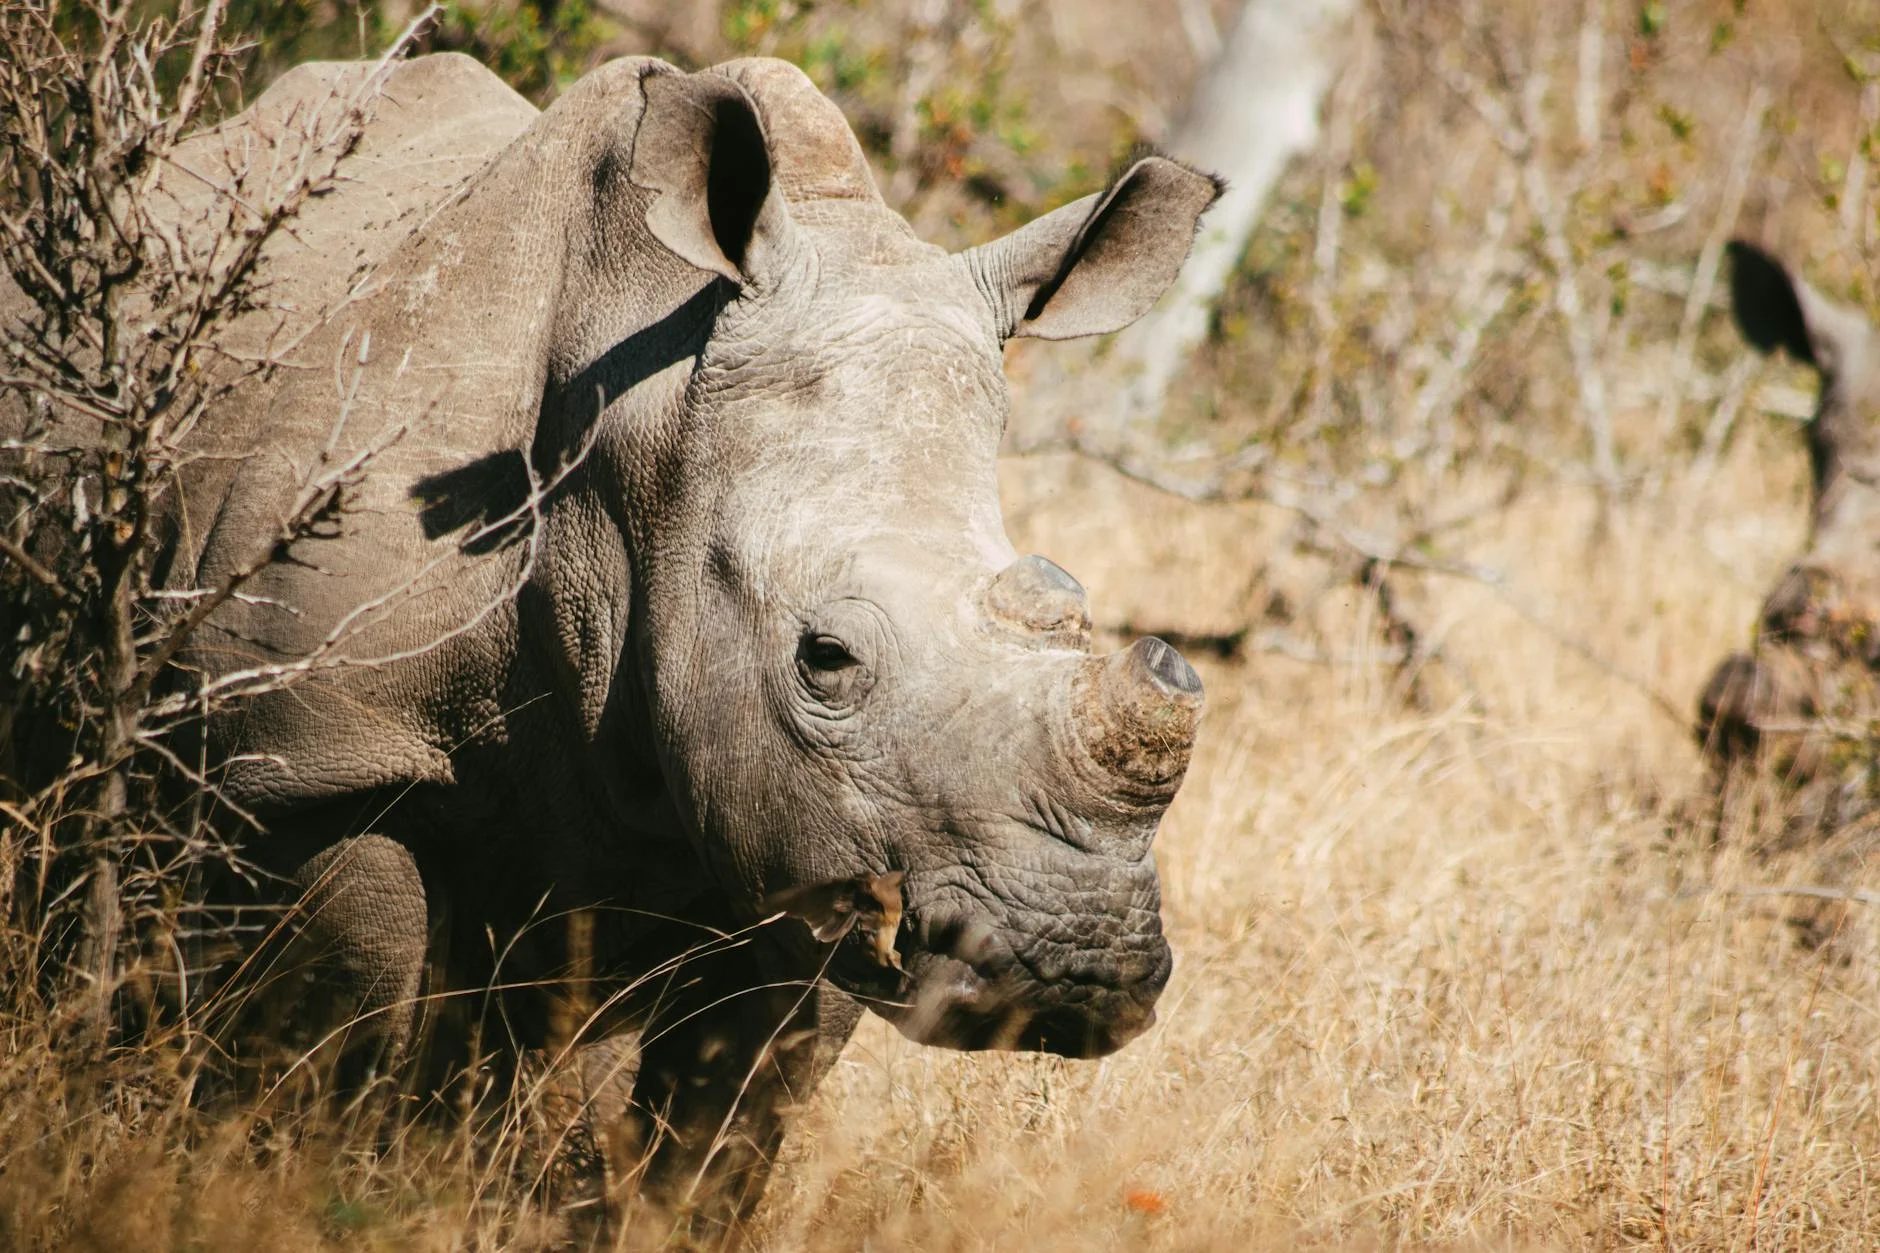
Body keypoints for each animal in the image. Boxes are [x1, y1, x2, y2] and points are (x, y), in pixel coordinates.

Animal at [4, 53, 1220, 1226]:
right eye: (823, 658)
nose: (1074, 970)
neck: (643, 459)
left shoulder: (815, 843)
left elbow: (719, 1137)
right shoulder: (320, 757)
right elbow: (329, 1051)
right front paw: (297, 1197)